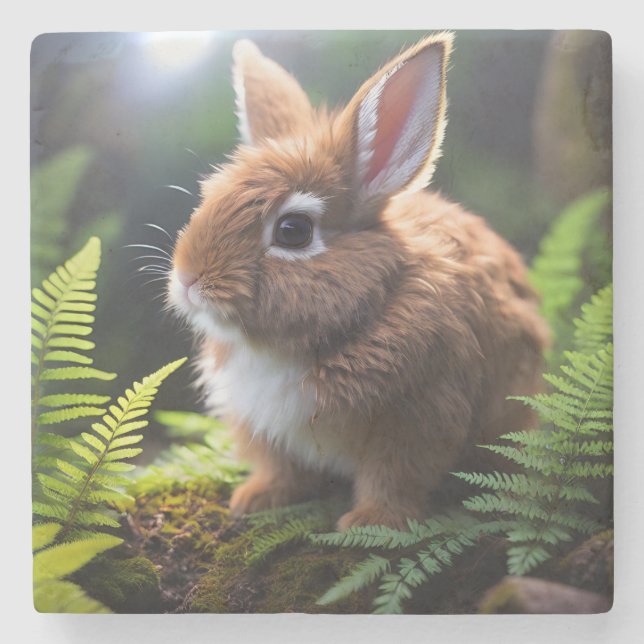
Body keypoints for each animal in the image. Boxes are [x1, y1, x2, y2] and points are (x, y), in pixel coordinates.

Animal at [167, 32, 551, 531]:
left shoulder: (419, 415)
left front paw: (370, 523)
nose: (187, 278)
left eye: (293, 230)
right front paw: (254, 499)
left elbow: (394, 477)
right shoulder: (260, 424)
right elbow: (280, 467)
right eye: (209, 197)